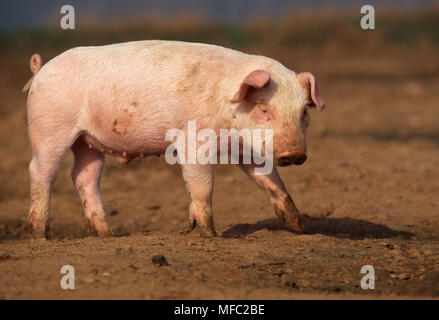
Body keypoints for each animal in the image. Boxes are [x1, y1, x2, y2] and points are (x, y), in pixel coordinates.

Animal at [24, 40, 326, 239]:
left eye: (304, 112)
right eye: (264, 109)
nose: (294, 154)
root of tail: (40, 70)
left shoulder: (246, 149)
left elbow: (271, 180)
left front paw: (300, 227)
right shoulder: (194, 141)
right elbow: (203, 184)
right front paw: (209, 234)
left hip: (88, 141)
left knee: (83, 175)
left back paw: (108, 235)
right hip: (50, 128)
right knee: (40, 172)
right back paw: (41, 235)